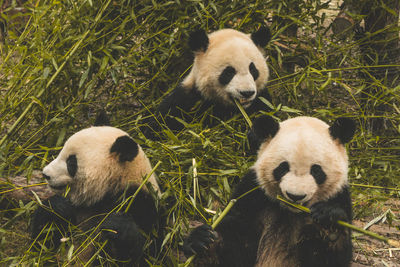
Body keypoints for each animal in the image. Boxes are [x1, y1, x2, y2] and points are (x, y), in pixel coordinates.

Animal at [30, 121, 161, 266]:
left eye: (71, 162)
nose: (46, 174)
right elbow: (42, 247)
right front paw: (57, 207)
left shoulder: (142, 204)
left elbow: (146, 256)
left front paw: (117, 226)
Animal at [145, 25, 274, 138]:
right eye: (229, 72)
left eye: (252, 69)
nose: (247, 92)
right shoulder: (186, 100)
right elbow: (160, 125)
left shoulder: (262, 101)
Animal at [183, 115, 354, 267]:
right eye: (283, 168)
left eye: (316, 171)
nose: (295, 196)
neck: (291, 211)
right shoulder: (254, 193)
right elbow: (235, 244)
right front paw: (204, 241)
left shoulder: (339, 196)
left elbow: (333, 259)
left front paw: (329, 225)